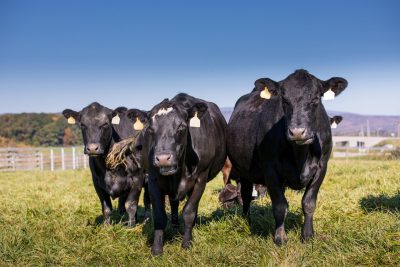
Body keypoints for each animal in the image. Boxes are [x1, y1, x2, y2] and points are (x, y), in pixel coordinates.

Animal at [128, 93, 228, 255]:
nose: (163, 158)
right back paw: (174, 223)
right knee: (173, 202)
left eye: (182, 126)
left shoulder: (200, 179)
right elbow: (160, 215)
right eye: (150, 129)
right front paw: (157, 249)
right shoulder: (153, 181)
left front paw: (187, 243)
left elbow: (189, 212)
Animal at [228, 70, 346, 246]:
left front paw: (308, 235)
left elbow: (308, 202)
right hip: (243, 171)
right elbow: (279, 206)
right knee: (246, 195)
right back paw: (247, 221)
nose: (297, 132)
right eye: (284, 100)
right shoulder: (270, 169)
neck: (300, 154)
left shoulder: (321, 167)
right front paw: (280, 238)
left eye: (316, 98)